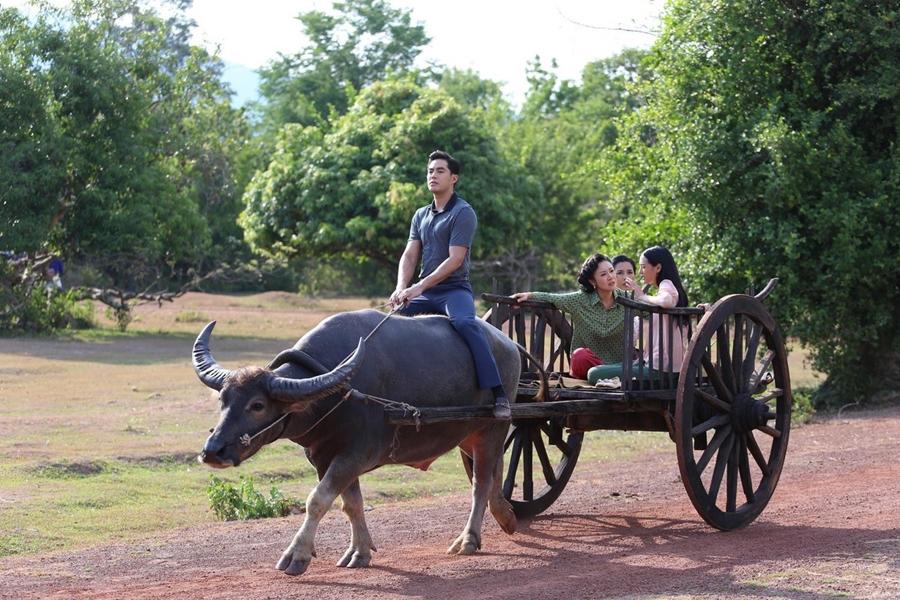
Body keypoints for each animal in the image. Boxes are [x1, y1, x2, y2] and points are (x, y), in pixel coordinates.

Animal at [195, 310, 520, 576]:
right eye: (223, 399)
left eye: (258, 405)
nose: (213, 451)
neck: (335, 396)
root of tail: (509, 345)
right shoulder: (325, 457)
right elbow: (351, 504)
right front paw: (359, 552)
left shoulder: (355, 455)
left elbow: (317, 500)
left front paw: (296, 555)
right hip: (466, 435)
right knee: (492, 474)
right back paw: (506, 516)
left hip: (493, 428)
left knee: (480, 483)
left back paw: (468, 539)